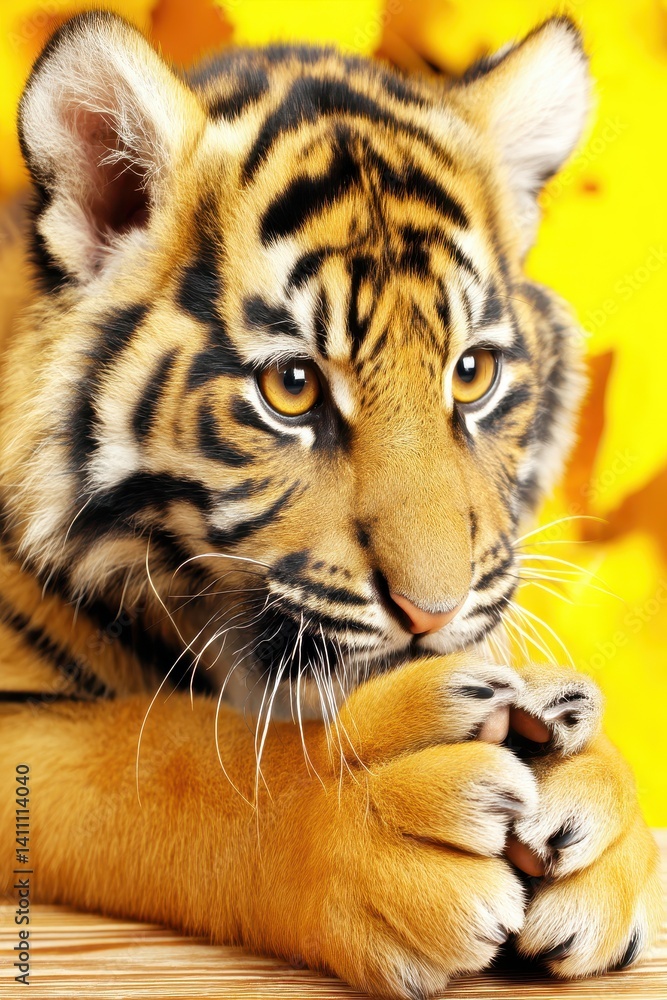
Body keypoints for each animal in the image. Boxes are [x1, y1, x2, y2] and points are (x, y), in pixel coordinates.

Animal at [0, 9, 661, 998]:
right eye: (293, 386)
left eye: (471, 372)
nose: (431, 612)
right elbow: (172, 756)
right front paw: (374, 811)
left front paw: (597, 810)